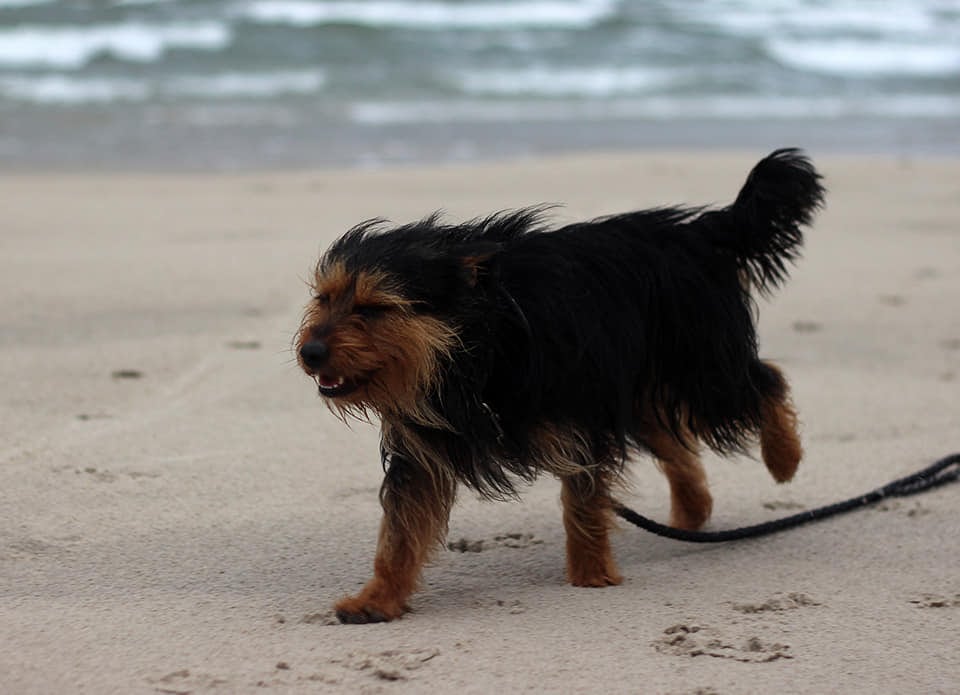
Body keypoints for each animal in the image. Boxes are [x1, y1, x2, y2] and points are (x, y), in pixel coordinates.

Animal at [296, 148, 825, 623]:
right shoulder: (424, 446)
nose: (310, 352)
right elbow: (400, 530)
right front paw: (379, 597)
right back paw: (693, 513)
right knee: (675, 442)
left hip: (701, 369)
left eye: (373, 308)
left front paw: (591, 573)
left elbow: (584, 500)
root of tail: (699, 230)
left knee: (765, 383)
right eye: (324, 299)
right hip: (642, 388)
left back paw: (784, 457)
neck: (478, 344)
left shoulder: (577, 418)